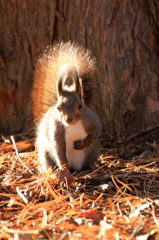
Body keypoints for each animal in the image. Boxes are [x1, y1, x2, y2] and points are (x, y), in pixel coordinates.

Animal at [32, 40, 101, 176]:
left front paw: (83, 143)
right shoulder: (56, 130)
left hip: (92, 153)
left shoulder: (92, 121)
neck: (73, 126)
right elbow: (60, 153)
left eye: (80, 106)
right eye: (58, 108)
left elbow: (95, 133)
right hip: (46, 155)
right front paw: (64, 169)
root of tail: (76, 168)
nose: (69, 120)